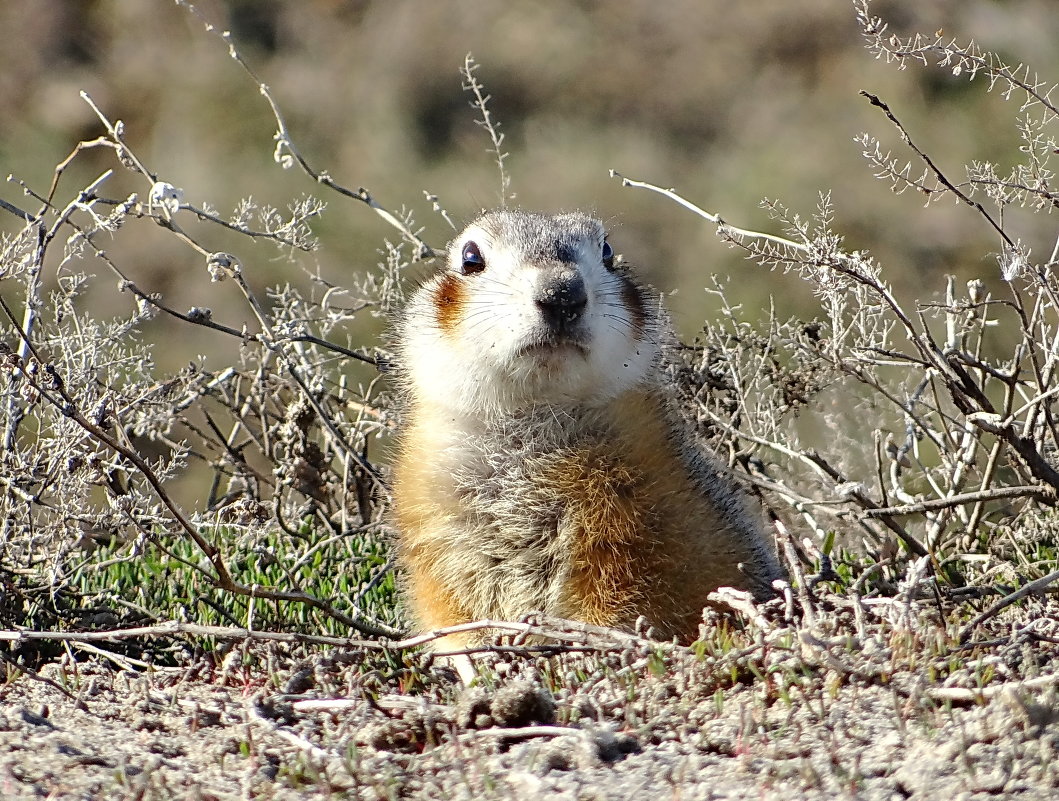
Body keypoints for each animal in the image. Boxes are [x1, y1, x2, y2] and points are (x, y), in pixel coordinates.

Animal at [393, 209, 783, 648]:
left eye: (608, 252)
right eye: (471, 257)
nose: (562, 293)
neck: (532, 424)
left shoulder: (632, 521)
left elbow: (618, 599)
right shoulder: (430, 520)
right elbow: (451, 616)